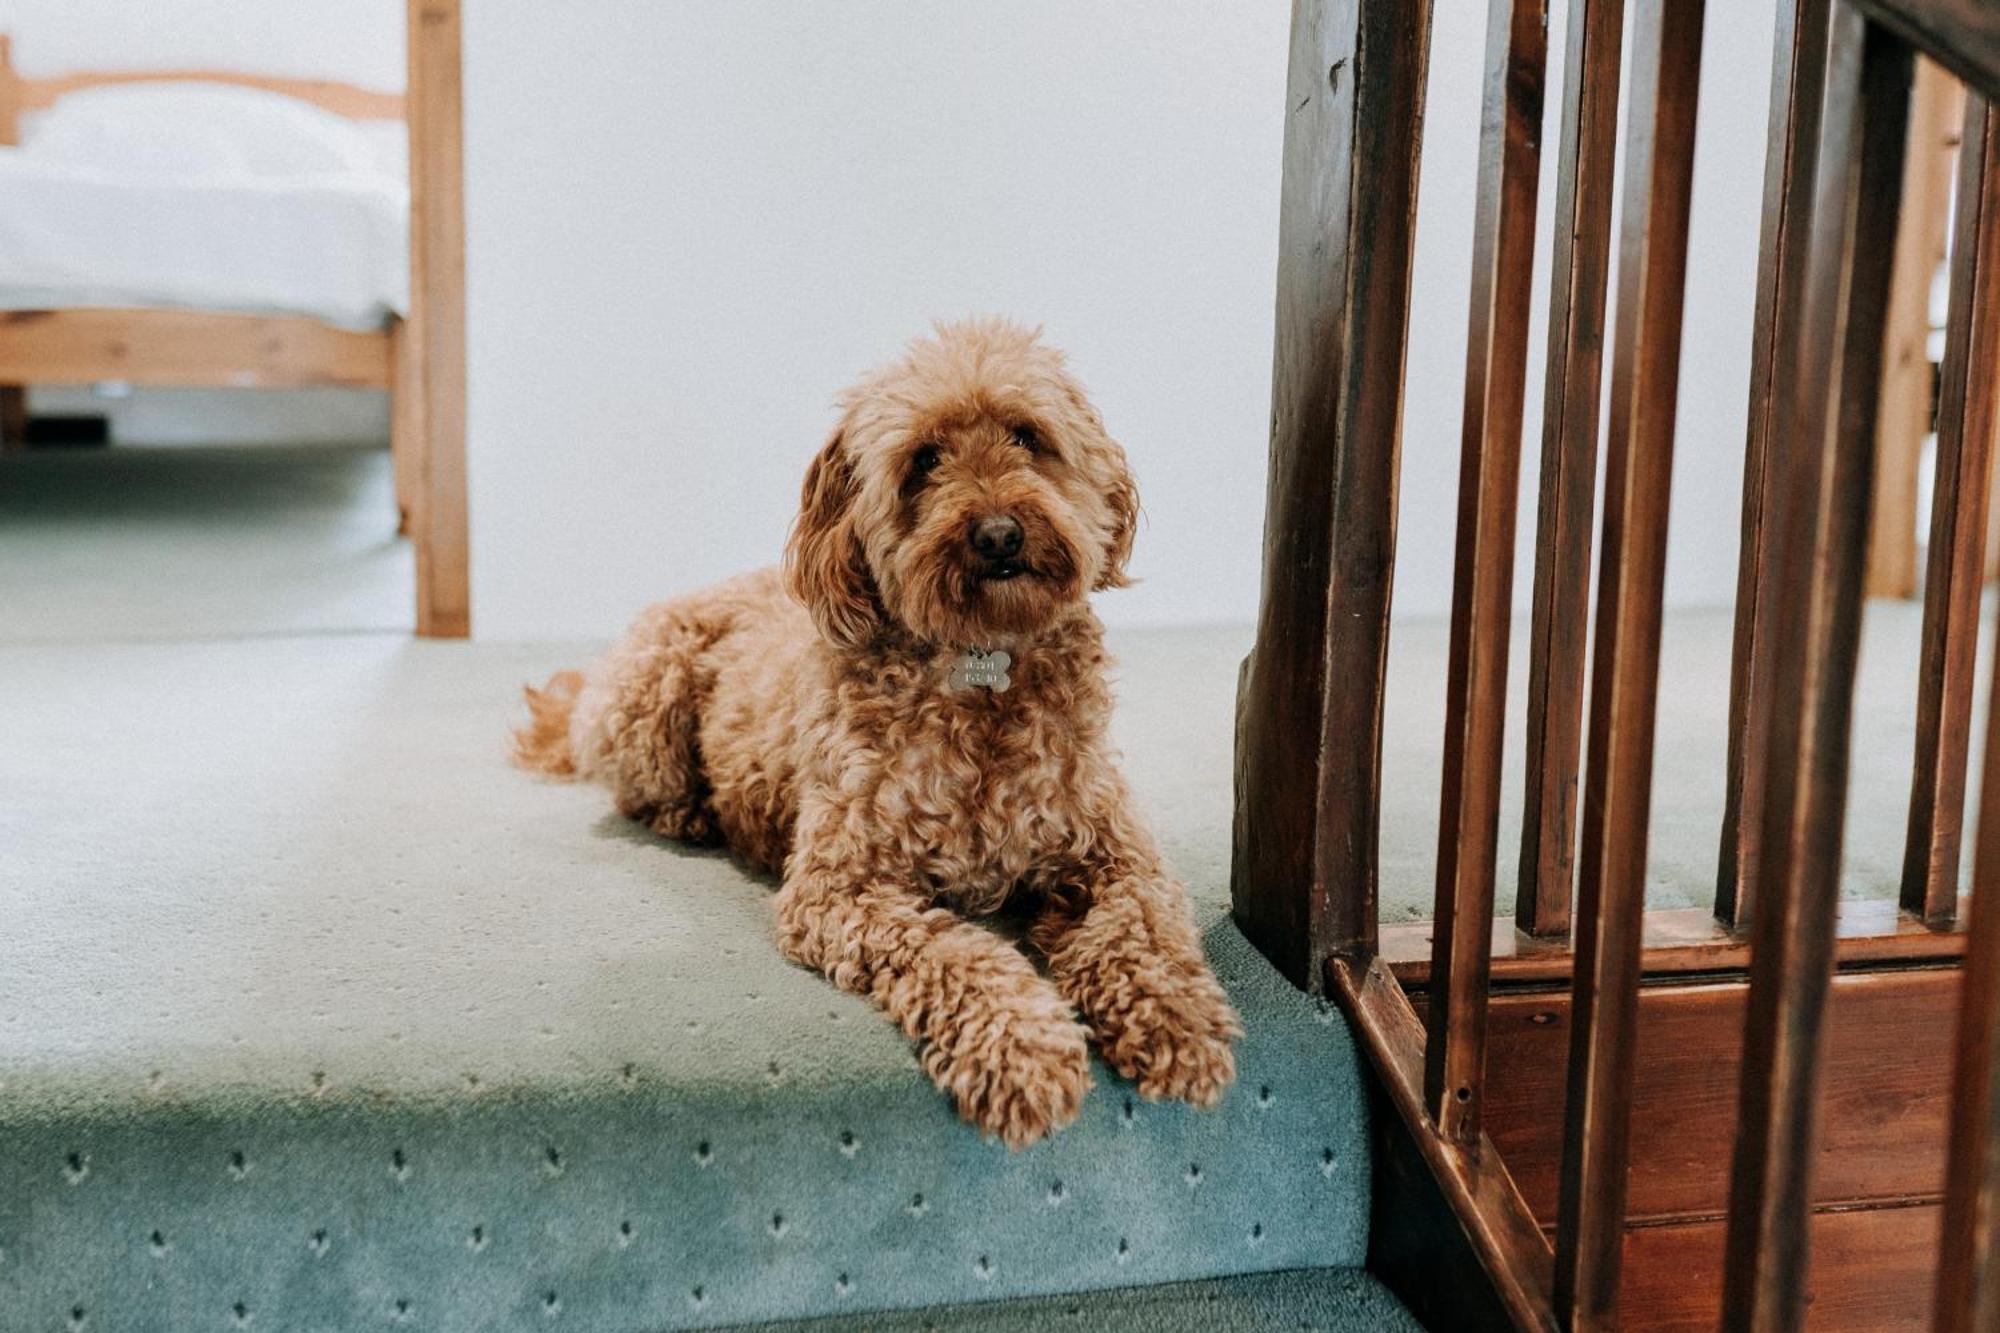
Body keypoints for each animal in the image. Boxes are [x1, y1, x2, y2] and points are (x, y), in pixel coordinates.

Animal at [512, 316, 1232, 1136]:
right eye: (924, 460)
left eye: (1027, 434)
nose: (998, 534)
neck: (980, 667)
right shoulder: (841, 890)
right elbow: (958, 956)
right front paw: (1024, 1048)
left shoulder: (1116, 852)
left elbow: (1142, 929)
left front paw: (1177, 1020)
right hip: (645, 696)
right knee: (637, 788)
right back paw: (693, 814)